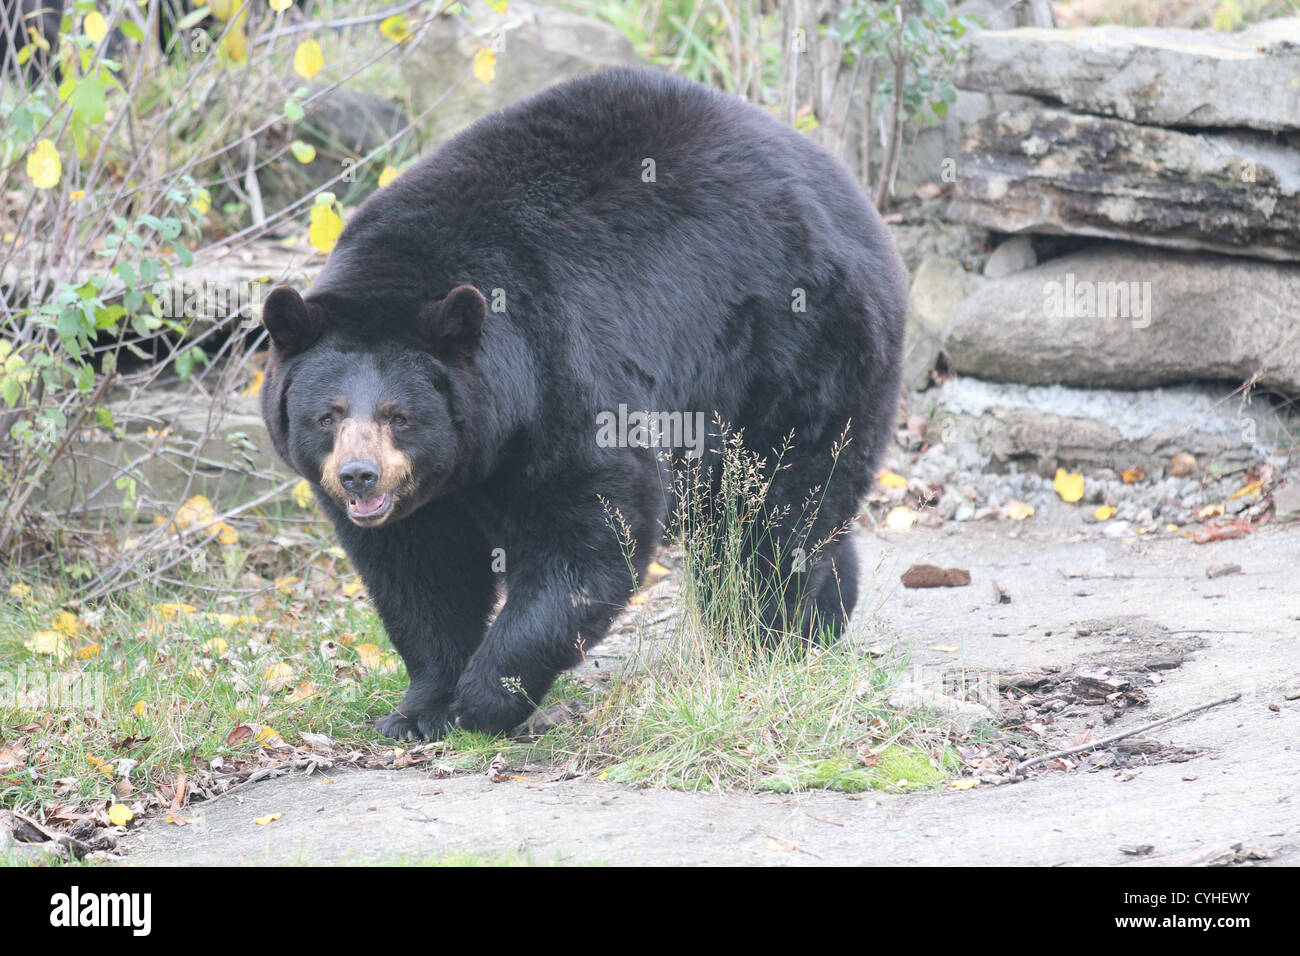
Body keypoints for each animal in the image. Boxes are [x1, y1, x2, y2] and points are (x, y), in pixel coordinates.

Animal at [258, 67, 899, 738]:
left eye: (399, 416)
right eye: (327, 416)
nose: (359, 476)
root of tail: (850, 194)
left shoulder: (560, 369)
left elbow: (595, 530)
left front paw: (485, 697)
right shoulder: (428, 493)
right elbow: (420, 571)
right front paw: (419, 710)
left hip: (799, 347)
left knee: (776, 505)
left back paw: (763, 636)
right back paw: (824, 614)